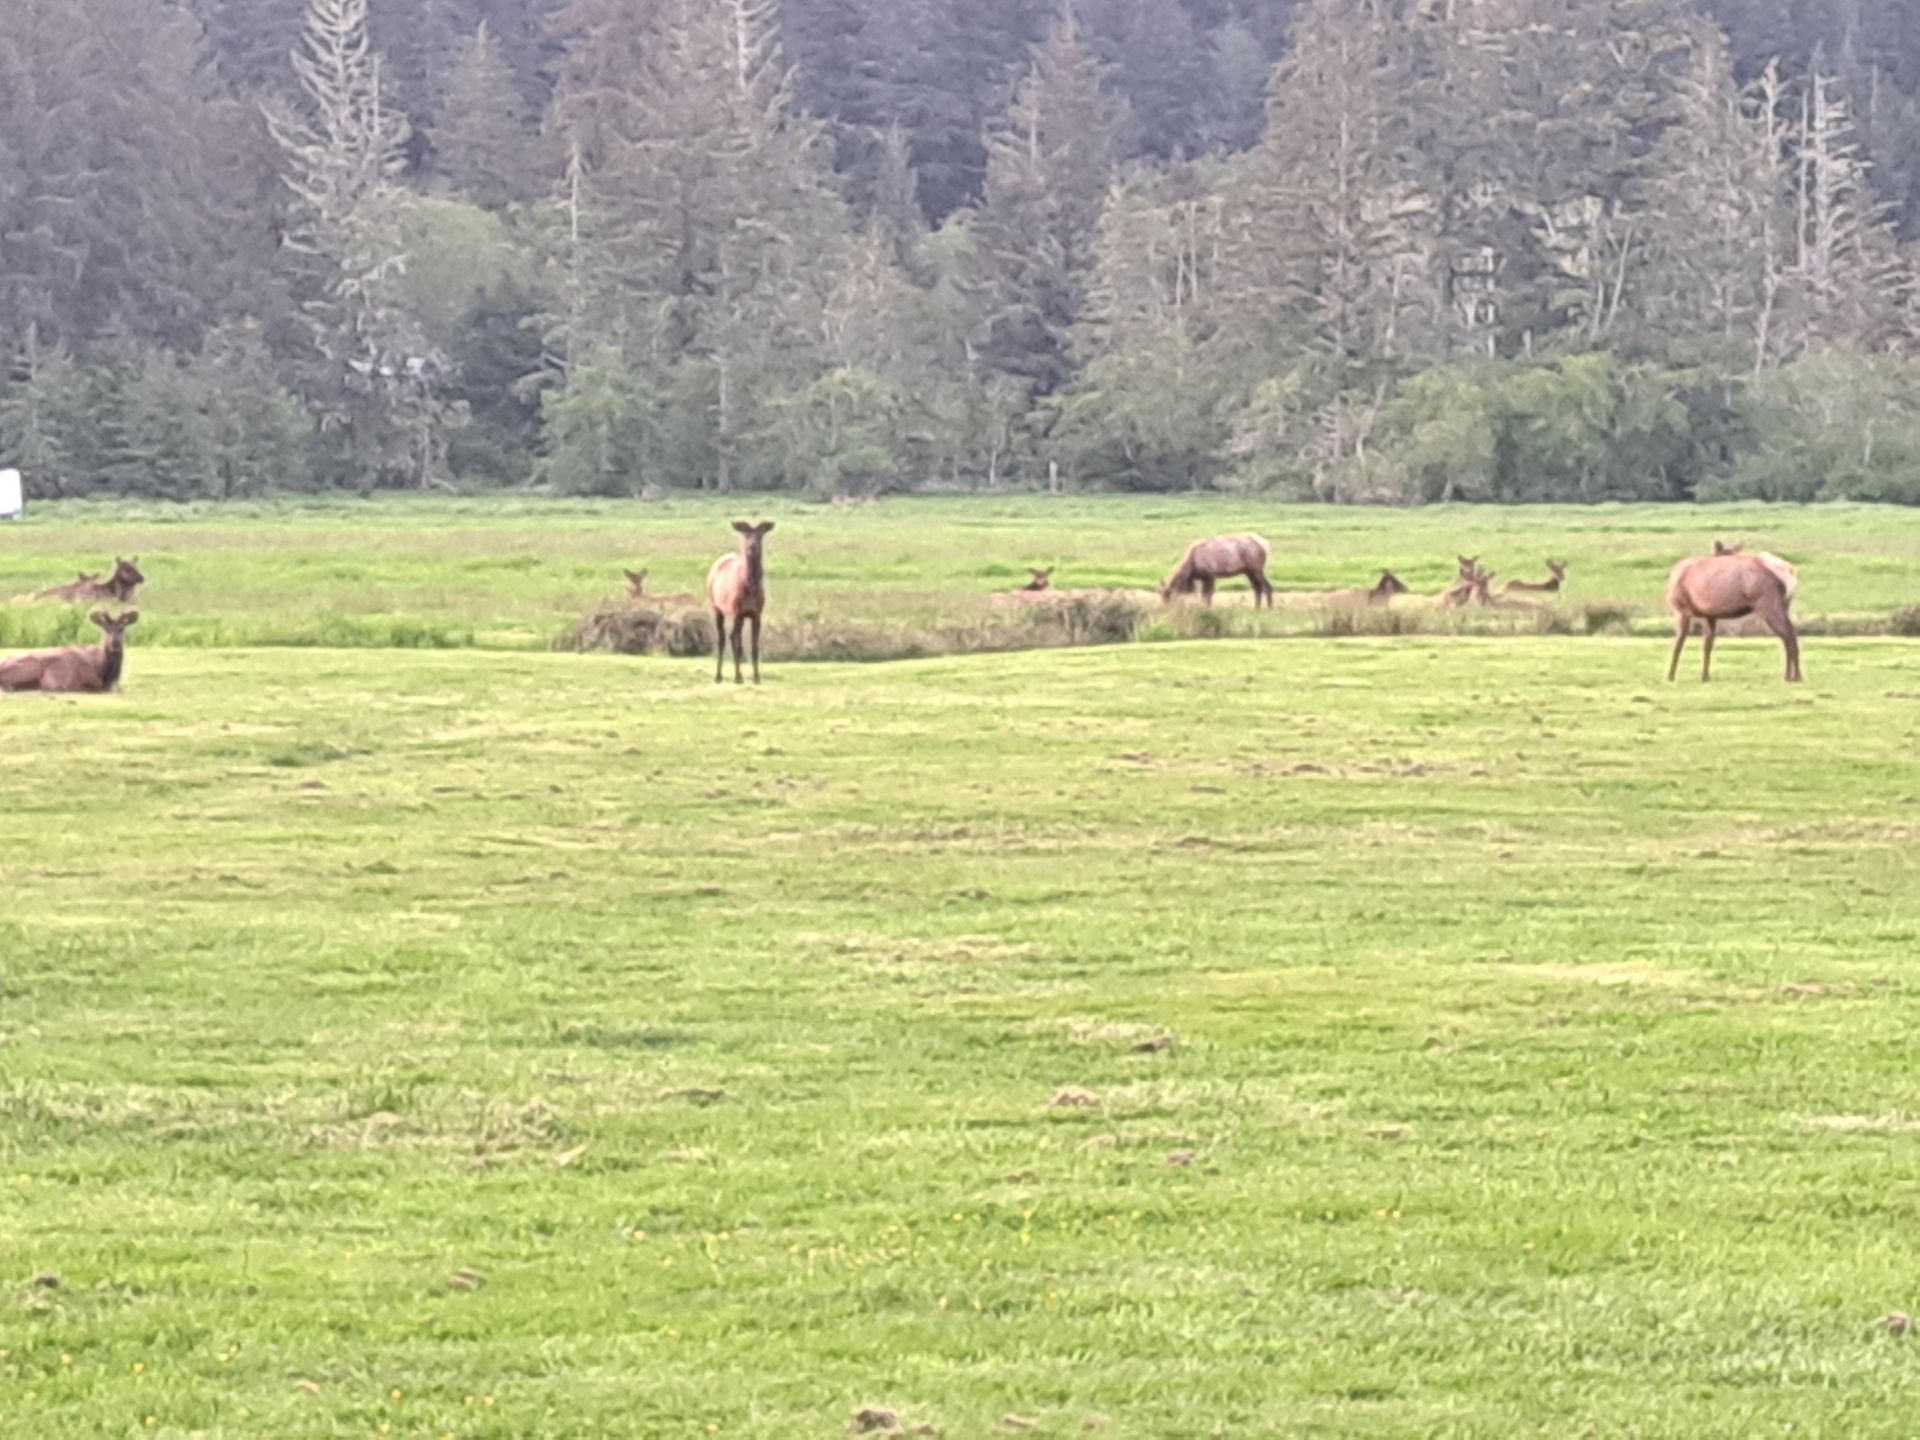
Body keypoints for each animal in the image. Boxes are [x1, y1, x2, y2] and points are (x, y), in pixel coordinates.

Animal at [706, 521, 774, 684]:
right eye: (746, 534)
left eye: (760, 535)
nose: (752, 546)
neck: (750, 587)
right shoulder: (736, 611)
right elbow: (737, 645)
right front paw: (737, 677)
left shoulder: (756, 614)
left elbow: (754, 647)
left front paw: (756, 678)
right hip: (717, 607)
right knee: (723, 639)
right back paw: (718, 676)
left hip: (739, 616)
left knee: (732, 637)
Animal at [1666, 549, 1801, 683]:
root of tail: (1789, 572)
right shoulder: (1709, 614)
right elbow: (1707, 645)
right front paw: (1705, 677)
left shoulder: (1682, 609)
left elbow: (1678, 644)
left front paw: (1670, 676)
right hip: (1784, 605)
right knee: (1791, 632)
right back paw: (1794, 675)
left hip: (1768, 604)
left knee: (1787, 635)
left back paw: (1791, 676)